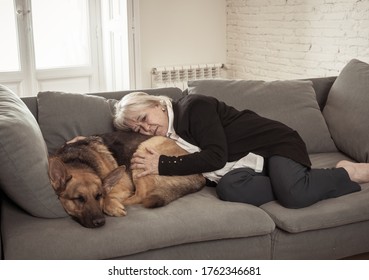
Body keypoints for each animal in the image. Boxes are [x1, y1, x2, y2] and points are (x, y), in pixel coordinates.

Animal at [47, 131, 206, 228]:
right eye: (78, 199)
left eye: (98, 196)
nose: (100, 221)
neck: (78, 161)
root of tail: (200, 176)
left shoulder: (122, 185)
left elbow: (108, 195)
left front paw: (111, 204)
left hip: (144, 150)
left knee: (141, 195)